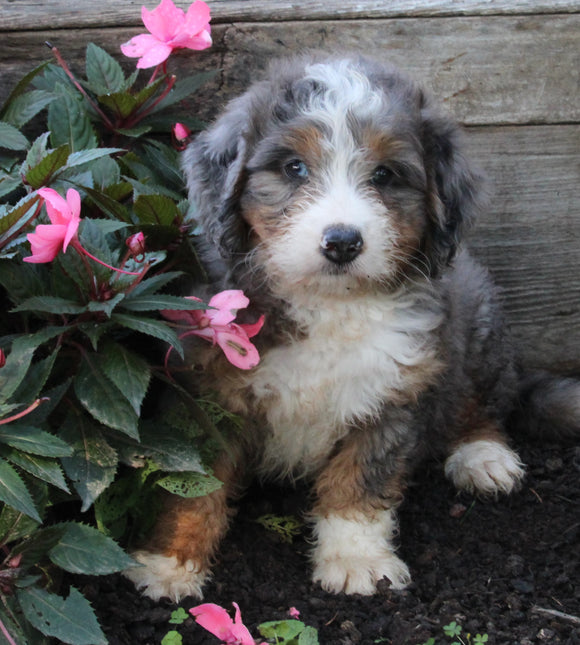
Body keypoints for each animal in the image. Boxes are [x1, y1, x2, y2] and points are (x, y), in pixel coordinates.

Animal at [125, 54, 580, 600]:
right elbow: (194, 485)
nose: (342, 242)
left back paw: (483, 457)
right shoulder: (207, 391)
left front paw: (356, 560)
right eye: (294, 167)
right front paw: (169, 563)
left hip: (479, 325)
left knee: (483, 402)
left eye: (384, 175)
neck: (330, 304)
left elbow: (361, 479)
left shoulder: (395, 388)